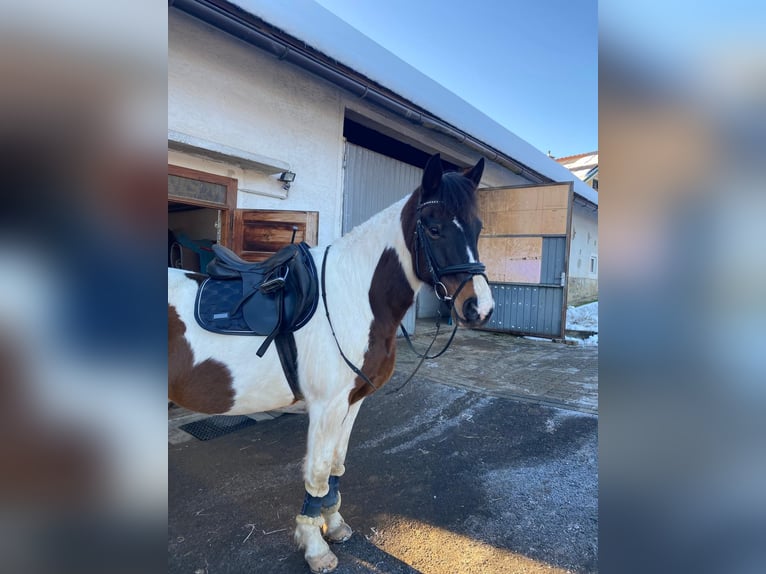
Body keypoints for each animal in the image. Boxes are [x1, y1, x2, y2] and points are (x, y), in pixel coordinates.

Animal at [168, 153, 495, 573]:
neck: (352, 295)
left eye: (477, 227)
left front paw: (334, 524)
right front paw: (315, 546)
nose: (479, 308)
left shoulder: (352, 401)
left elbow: (337, 467)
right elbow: (319, 470)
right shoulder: (327, 405)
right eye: (434, 228)